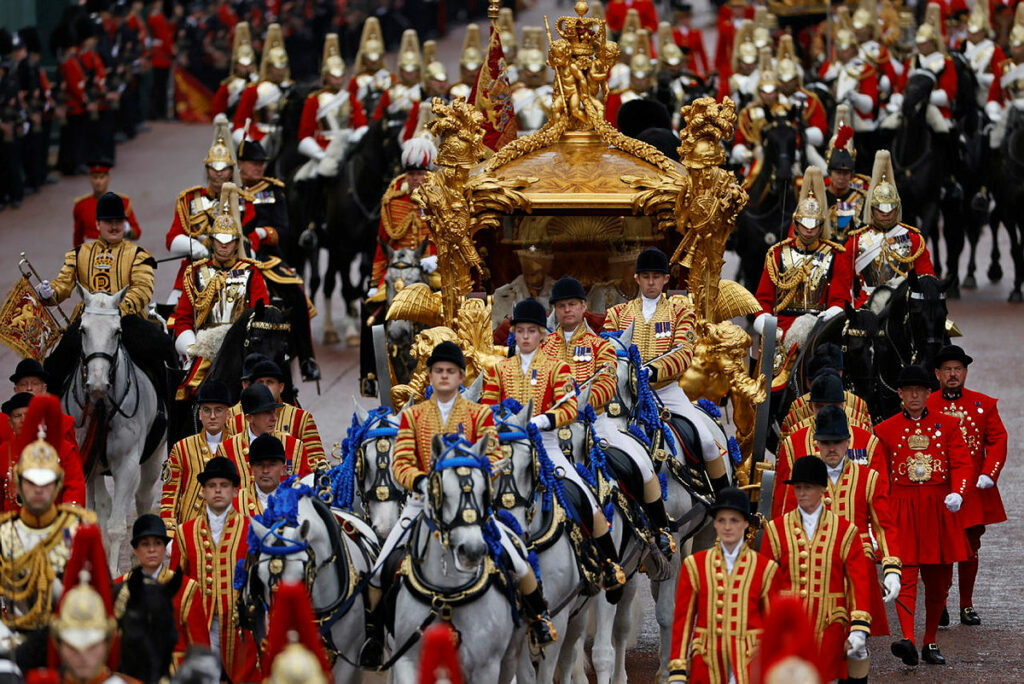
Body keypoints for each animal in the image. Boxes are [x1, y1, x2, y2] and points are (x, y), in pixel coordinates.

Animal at [66, 288, 164, 573]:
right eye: (83, 330)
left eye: (117, 331)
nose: (97, 384)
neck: (102, 406)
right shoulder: (88, 462)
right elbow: (97, 515)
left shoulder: (127, 463)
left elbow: (117, 526)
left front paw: (113, 571)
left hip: (154, 456)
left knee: (143, 497)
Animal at [389, 436, 524, 679]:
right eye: (441, 492)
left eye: (484, 491)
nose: (471, 550)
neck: (447, 595)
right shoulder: (406, 661)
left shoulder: (486, 667)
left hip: (509, 657)